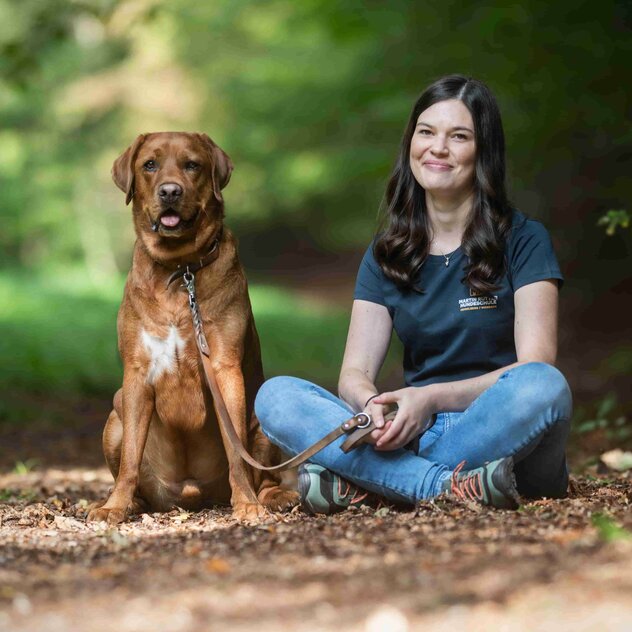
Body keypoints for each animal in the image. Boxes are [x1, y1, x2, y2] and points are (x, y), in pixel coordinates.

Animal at [87, 130, 302, 524]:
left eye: (192, 165)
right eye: (150, 164)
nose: (170, 192)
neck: (179, 269)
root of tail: (189, 494)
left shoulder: (225, 369)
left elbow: (236, 452)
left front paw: (246, 502)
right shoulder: (136, 374)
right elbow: (129, 461)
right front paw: (115, 506)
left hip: (260, 414)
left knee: (263, 472)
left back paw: (273, 496)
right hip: (115, 412)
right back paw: (130, 502)